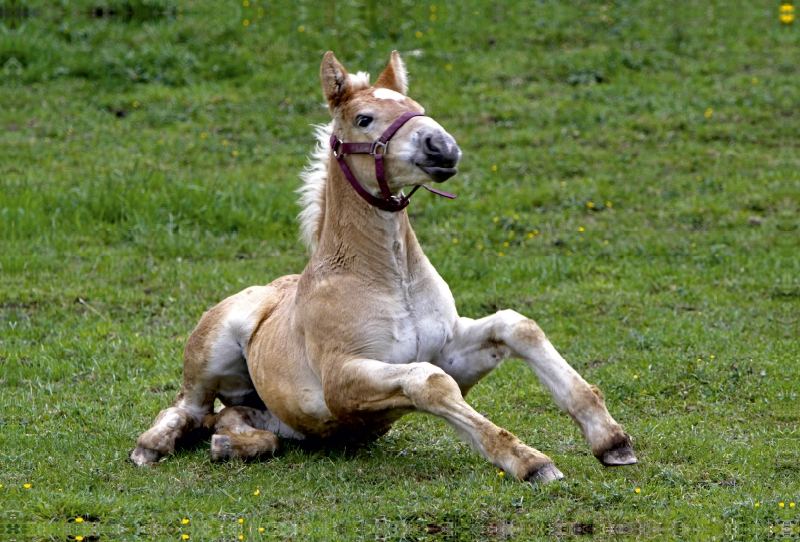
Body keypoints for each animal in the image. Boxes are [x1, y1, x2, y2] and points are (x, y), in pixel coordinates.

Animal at [133, 52, 636, 484]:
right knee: (189, 407)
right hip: (212, 351)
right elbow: (429, 383)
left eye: (417, 108)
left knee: (228, 419)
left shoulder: (450, 350)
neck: (389, 278)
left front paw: (611, 440)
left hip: (275, 415)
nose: (442, 146)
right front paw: (530, 461)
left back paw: (232, 446)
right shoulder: (343, 379)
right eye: (364, 119)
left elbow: (517, 326)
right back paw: (151, 447)